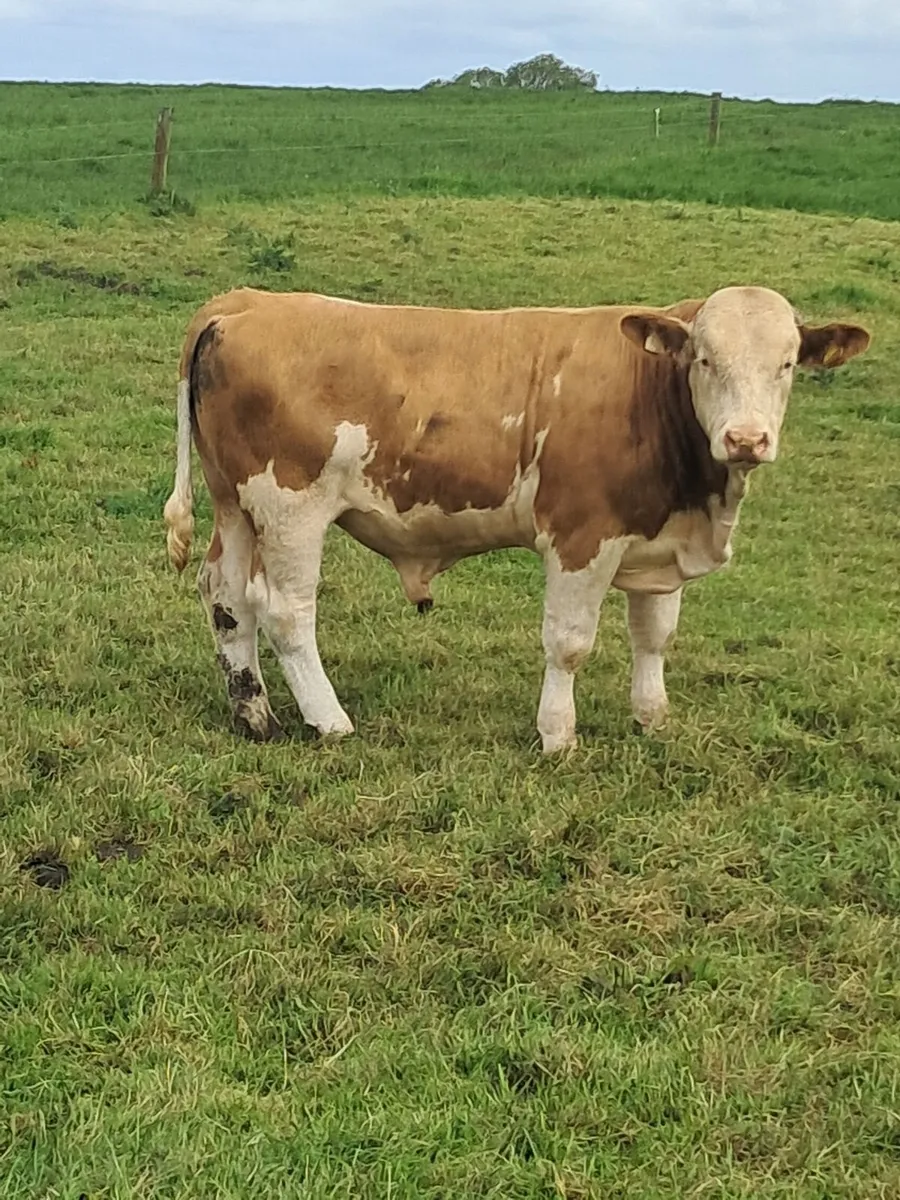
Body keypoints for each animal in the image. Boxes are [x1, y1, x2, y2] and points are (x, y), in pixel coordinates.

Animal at [163, 285, 869, 753]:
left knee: (227, 598)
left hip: (236, 505)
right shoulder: (581, 536)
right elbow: (570, 643)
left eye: (786, 364)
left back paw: (254, 714)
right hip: (290, 508)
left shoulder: (656, 544)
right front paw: (558, 735)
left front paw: (651, 717)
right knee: (285, 612)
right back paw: (328, 719)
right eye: (704, 359)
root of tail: (244, 301)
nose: (746, 439)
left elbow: (654, 636)